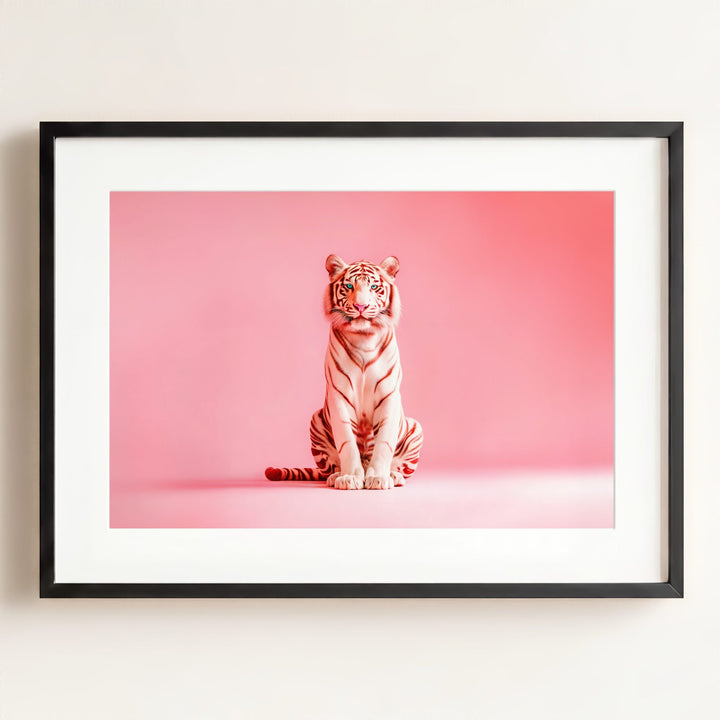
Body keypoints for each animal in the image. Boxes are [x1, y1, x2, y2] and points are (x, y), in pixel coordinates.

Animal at [265, 254, 423, 490]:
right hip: (316, 420)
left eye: (374, 287)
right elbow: (346, 441)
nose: (361, 306)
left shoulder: (388, 395)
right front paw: (349, 477)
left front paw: (379, 477)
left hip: (415, 426)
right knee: (329, 468)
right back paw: (336, 476)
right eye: (349, 286)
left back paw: (393, 476)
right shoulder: (339, 394)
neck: (364, 338)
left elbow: (384, 441)